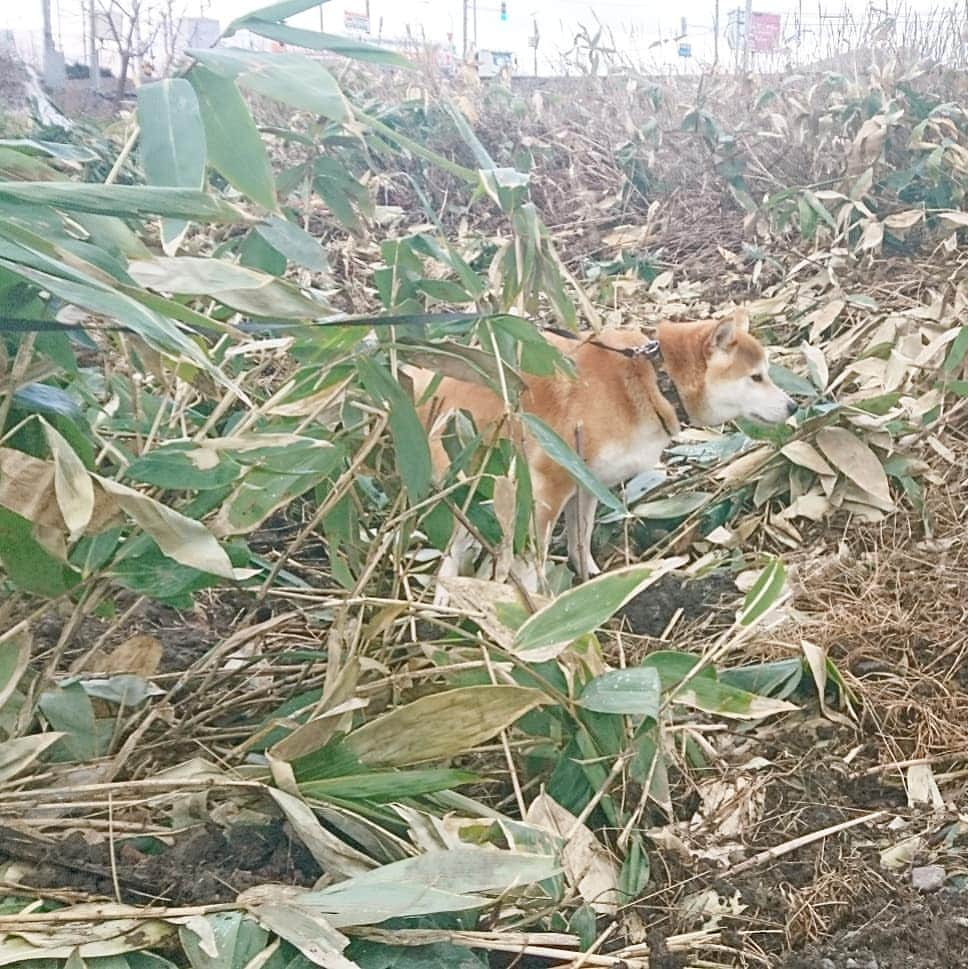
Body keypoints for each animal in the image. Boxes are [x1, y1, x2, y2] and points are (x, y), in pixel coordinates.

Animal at [408, 310, 796, 596]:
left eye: (766, 373)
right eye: (756, 377)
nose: (793, 405)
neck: (657, 381)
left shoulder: (585, 483)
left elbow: (579, 541)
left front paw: (592, 583)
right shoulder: (550, 481)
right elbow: (534, 558)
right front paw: (537, 604)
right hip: (469, 485)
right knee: (450, 557)